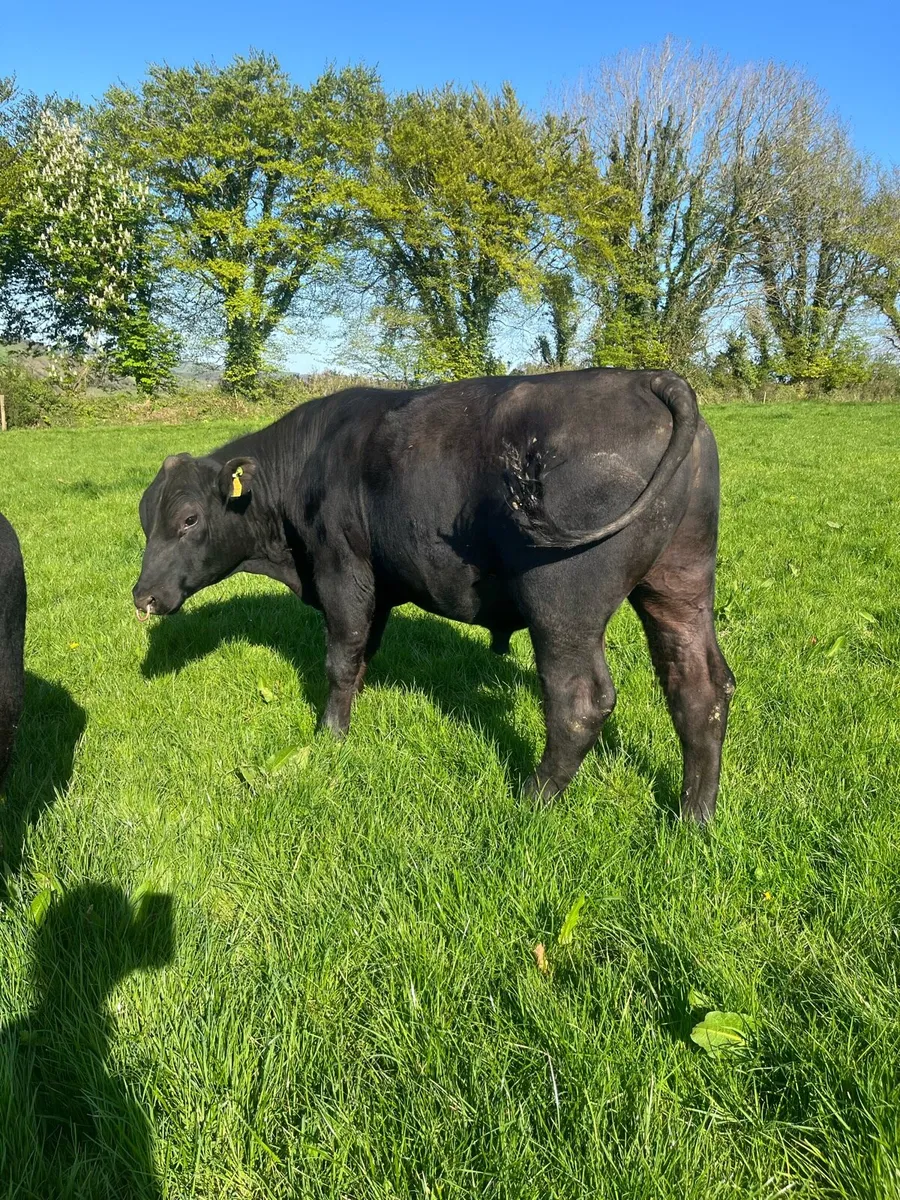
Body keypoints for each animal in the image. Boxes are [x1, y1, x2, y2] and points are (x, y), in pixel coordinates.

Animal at [134, 368, 735, 821]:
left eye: (188, 519)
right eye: (145, 521)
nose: (143, 597)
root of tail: (647, 378)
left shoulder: (342, 570)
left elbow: (339, 656)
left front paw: (330, 735)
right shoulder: (377, 587)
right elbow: (362, 654)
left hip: (564, 605)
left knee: (579, 702)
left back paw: (531, 800)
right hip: (680, 581)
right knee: (700, 687)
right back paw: (693, 818)